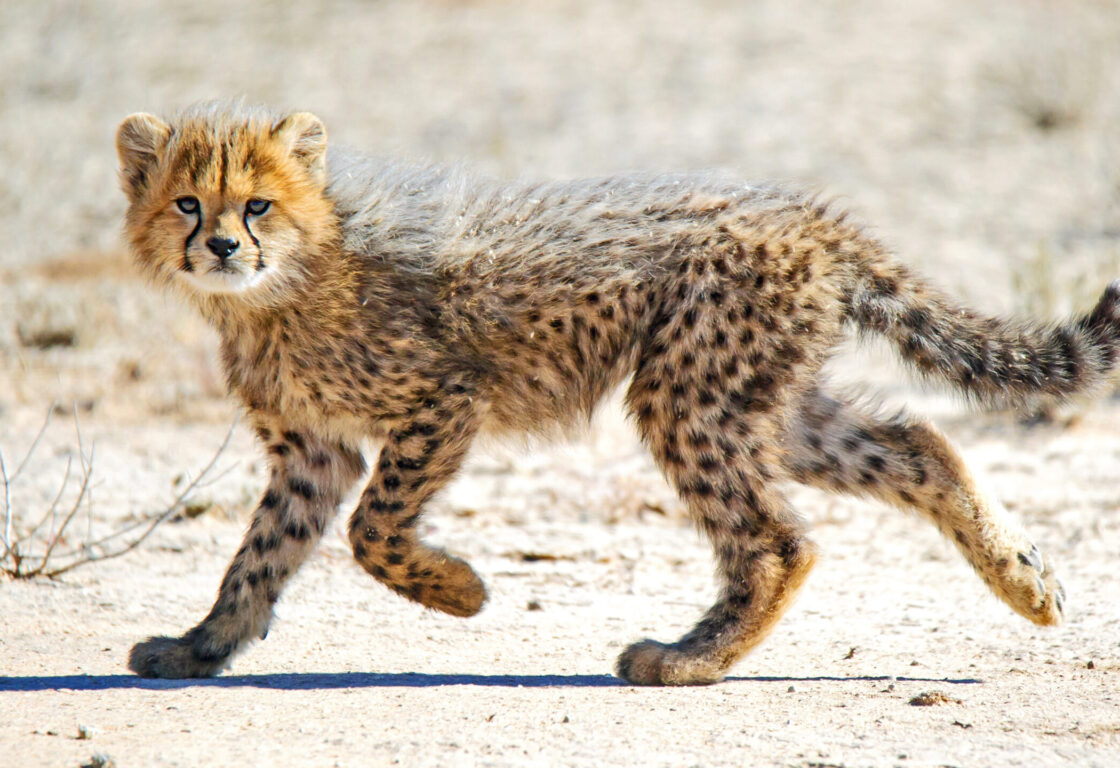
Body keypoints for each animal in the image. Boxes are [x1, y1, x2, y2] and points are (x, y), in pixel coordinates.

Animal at [115, 101, 1120, 685]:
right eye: (186, 204)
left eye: (257, 205)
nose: (222, 248)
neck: (284, 284)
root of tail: (812, 215)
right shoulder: (312, 449)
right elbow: (259, 555)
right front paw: (201, 646)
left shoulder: (443, 401)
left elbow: (375, 531)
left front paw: (461, 592)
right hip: (759, 397)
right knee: (919, 446)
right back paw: (1027, 582)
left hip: (689, 392)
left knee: (778, 540)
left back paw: (686, 660)